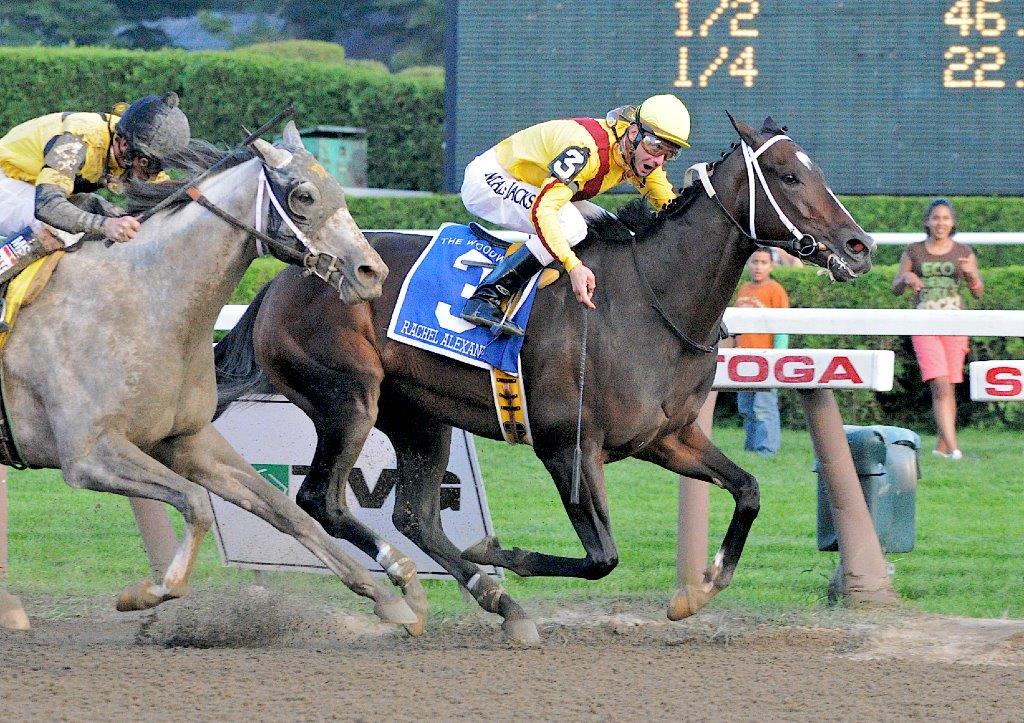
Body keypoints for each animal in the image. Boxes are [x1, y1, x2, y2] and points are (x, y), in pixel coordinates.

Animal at [214, 116, 872, 643]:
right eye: (787, 177)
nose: (859, 245)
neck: (649, 301)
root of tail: (284, 278)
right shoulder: (568, 445)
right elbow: (602, 557)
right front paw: (496, 552)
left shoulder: (667, 438)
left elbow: (748, 489)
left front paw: (698, 590)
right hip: (349, 398)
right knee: (318, 498)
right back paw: (410, 588)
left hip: (418, 414)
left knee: (415, 516)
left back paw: (494, 599)